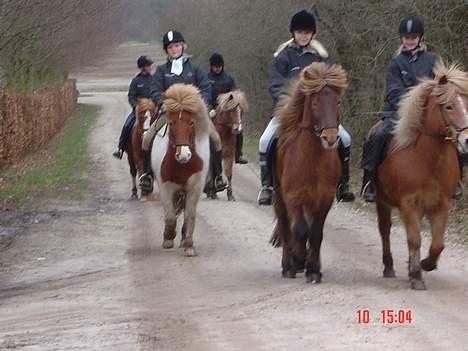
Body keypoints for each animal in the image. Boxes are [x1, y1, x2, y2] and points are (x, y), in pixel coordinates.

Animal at [153, 84, 213, 258]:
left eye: (191, 123)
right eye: (172, 123)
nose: (184, 155)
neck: (182, 165)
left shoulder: (195, 187)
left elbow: (190, 215)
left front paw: (189, 245)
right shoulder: (165, 187)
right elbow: (170, 216)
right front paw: (168, 238)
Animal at [270, 62, 348, 284]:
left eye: (338, 101)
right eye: (314, 103)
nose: (330, 138)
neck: (312, 160)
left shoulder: (324, 199)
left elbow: (316, 233)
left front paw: (313, 269)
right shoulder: (293, 197)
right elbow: (299, 229)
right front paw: (298, 259)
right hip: (280, 198)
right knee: (286, 227)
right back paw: (289, 264)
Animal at [372, 63, 468, 292]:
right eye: (449, 106)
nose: (467, 141)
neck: (427, 158)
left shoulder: (441, 204)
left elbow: (437, 243)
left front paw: (426, 264)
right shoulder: (408, 203)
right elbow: (414, 239)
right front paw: (416, 275)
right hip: (381, 201)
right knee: (385, 230)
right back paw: (389, 267)